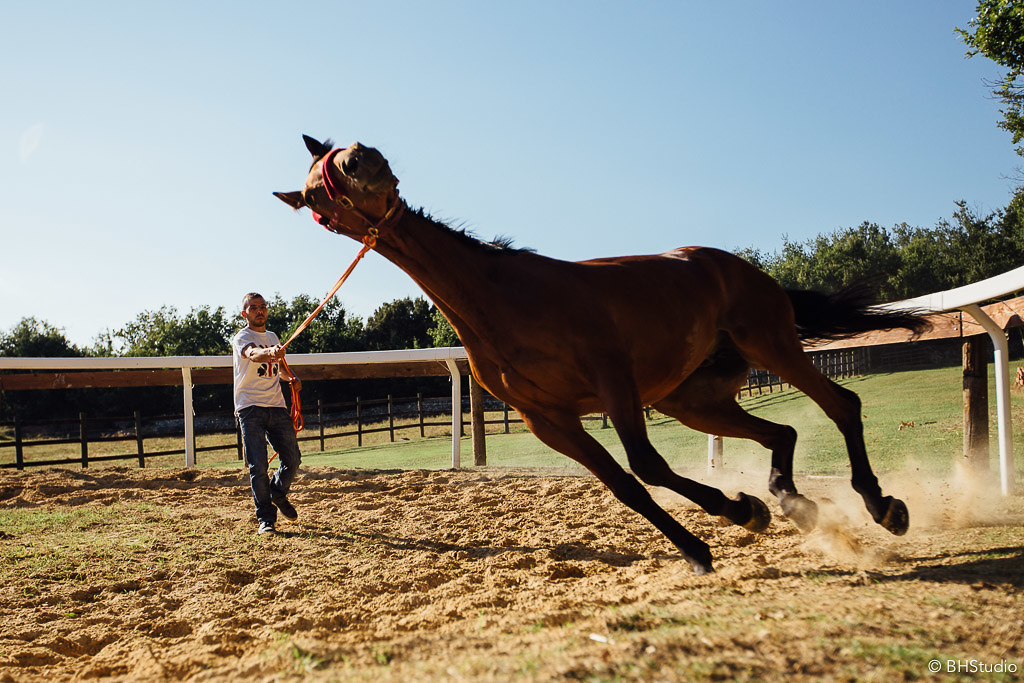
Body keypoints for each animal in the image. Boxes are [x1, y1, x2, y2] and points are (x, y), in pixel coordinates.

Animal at [275, 137, 929, 575]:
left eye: (342, 158)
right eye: (318, 193)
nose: (366, 158)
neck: (502, 300)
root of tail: (737, 267)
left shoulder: (614, 384)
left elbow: (647, 467)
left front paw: (731, 513)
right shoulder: (549, 419)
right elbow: (626, 485)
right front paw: (716, 532)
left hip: (769, 344)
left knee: (841, 405)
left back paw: (883, 507)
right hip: (694, 397)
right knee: (783, 432)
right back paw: (792, 504)